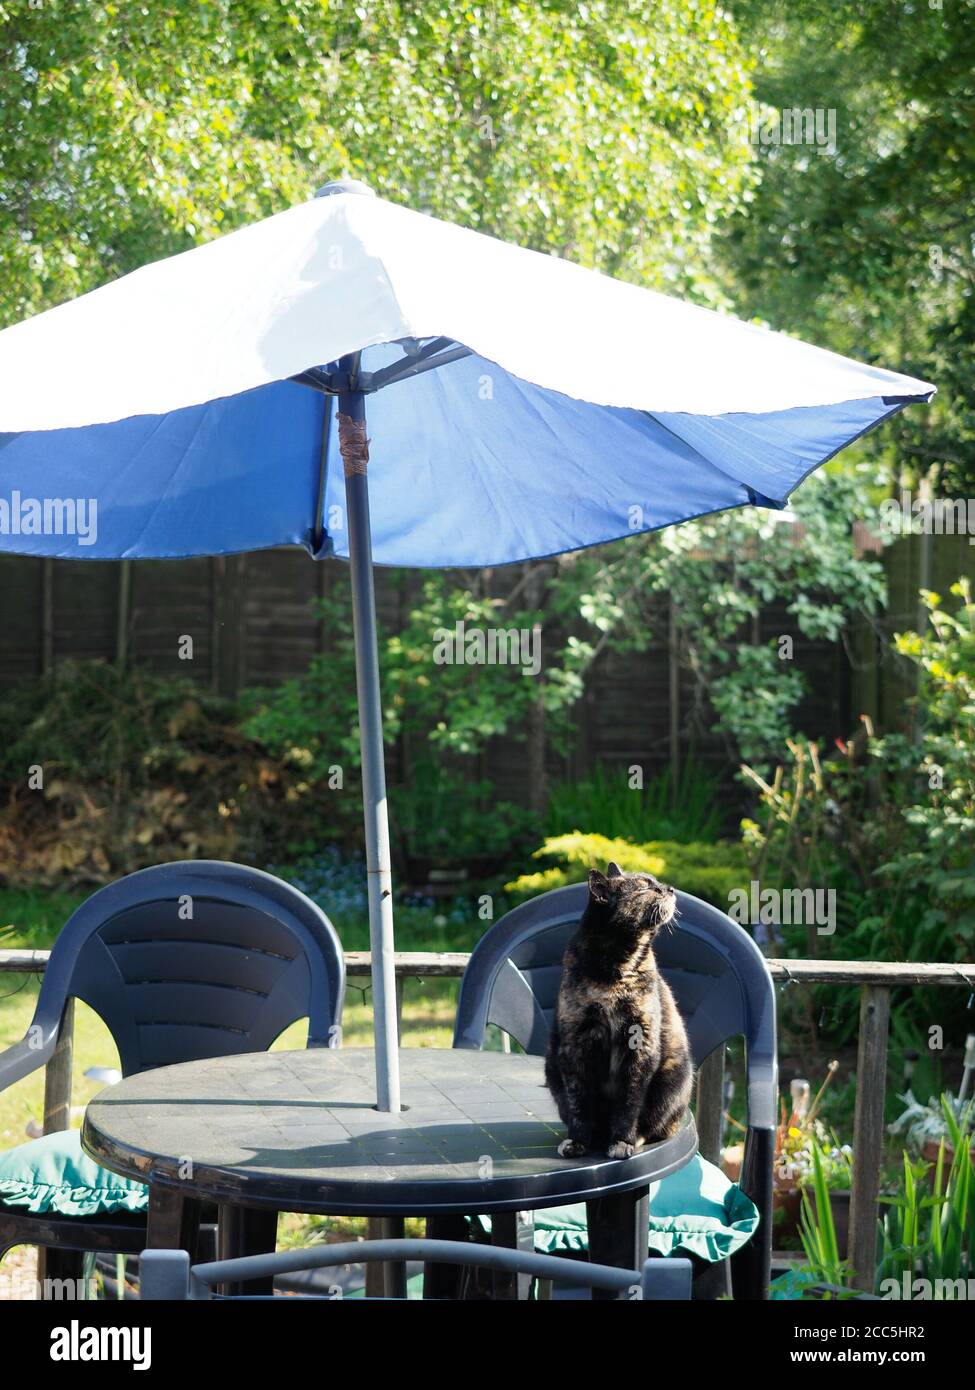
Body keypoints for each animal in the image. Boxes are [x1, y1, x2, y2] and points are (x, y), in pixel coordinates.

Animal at [548, 861, 692, 1156]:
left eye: (656, 882)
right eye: (646, 887)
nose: (670, 889)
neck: (615, 969)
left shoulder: (640, 1044)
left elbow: (629, 1103)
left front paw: (622, 1141)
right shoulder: (575, 1044)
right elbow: (579, 1102)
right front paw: (578, 1141)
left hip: (675, 1078)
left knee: (657, 1126)